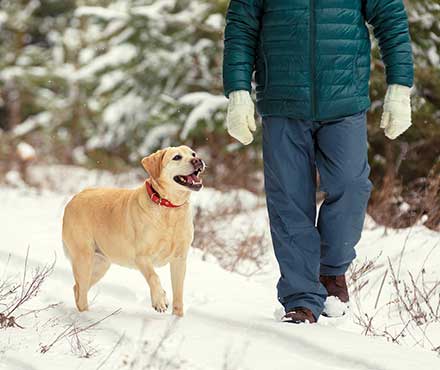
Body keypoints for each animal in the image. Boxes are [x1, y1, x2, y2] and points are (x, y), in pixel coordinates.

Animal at [61, 146, 205, 316]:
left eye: (193, 154)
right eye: (177, 157)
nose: (198, 160)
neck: (168, 208)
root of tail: (74, 198)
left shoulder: (179, 260)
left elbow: (178, 294)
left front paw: (177, 317)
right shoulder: (141, 257)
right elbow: (154, 277)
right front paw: (160, 300)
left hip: (101, 264)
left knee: (77, 289)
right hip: (84, 259)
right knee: (81, 292)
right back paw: (87, 316)